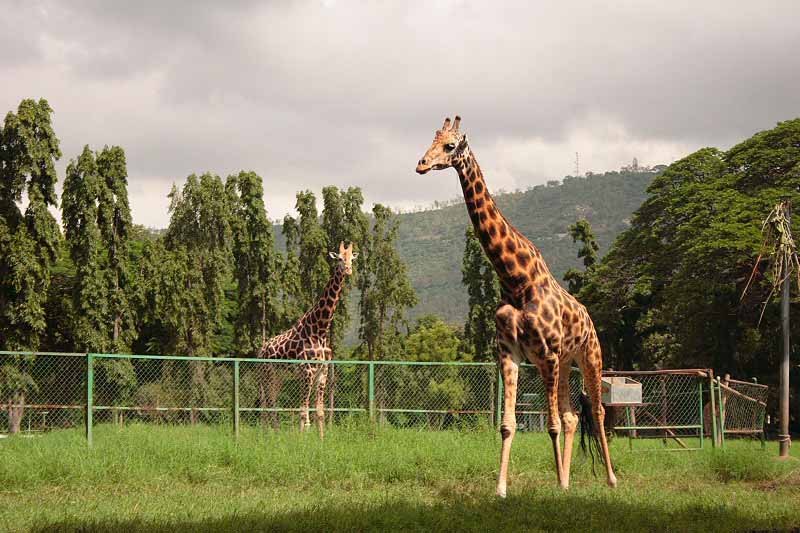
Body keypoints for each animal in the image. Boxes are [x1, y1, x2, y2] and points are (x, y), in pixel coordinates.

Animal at [258, 241, 358, 436]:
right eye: (339, 259)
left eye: (351, 258)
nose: (348, 270)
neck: (320, 330)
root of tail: (260, 350)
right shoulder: (307, 371)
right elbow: (303, 410)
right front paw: (301, 439)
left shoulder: (322, 372)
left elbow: (319, 411)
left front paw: (321, 440)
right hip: (266, 373)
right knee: (266, 403)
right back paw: (266, 435)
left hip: (279, 377)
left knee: (273, 402)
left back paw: (275, 433)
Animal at [416, 116, 616, 494]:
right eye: (430, 141)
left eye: (450, 146)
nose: (420, 165)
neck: (515, 279)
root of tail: (588, 317)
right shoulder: (509, 353)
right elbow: (508, 424)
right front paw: (502, 488)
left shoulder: (547, 353)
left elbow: (551, 424)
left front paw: (556, 484)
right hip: (563, 363)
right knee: (572, 415)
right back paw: (567, 479)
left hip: (588, 355)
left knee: (596, 411)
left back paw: (611, 479)